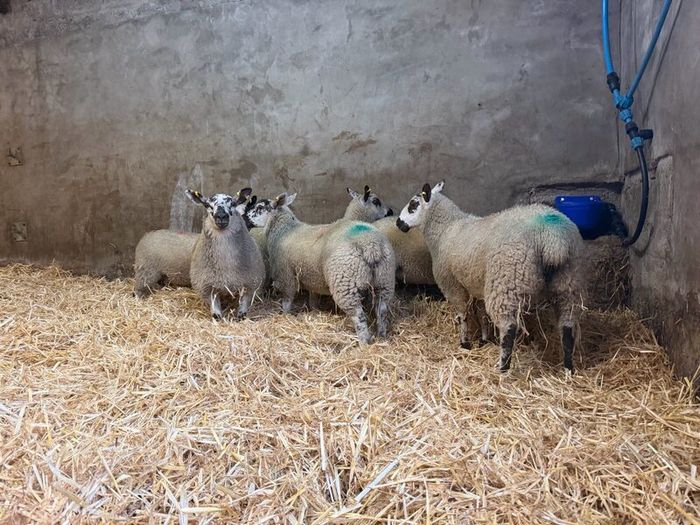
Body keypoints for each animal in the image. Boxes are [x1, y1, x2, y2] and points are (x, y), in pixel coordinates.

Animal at [186, 189, 265, 320]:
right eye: (207, 205)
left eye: (233, 204)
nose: (221, 216)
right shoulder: (206, 286)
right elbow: (214, 305)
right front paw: (217, 315)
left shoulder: (251, 283)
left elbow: (245, 301)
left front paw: (241, 315)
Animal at [245, 192, 395, 344]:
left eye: (259, 207)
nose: (244, 217)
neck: (285, 230)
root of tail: (370, 245)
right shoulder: (312, 277)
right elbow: (313, 297)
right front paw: (314, 310)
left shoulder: (286, 276)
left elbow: (287, 300)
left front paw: (286, 316)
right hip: (385, 279)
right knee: (382, 310)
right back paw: (382, 335)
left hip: (344, 281)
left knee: (358, 315)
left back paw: (364, 342)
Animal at [396, 181, 584, 372]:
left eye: (413, 205)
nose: (398, 223)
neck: (446, 229)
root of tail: (552, 239)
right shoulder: (477, 282)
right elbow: (481, 313)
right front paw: (484, 339)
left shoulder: (452, 283)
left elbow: (462, 314)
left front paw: (465, 343)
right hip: (568, 281)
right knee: (567, 326)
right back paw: (568, 367)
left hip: (506, 282)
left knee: (509, 328)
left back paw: (503, 367)